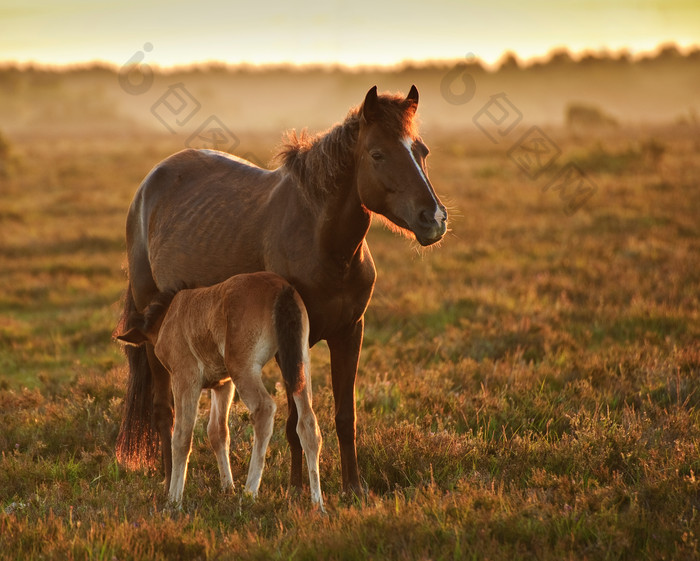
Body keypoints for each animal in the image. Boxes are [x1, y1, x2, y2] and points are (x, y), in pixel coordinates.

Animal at [116, 272, 324, 508]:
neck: (171, 313)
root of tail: (281, 288)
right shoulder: (223, 384)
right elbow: (217, 432)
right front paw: (227, 487)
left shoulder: (185, 378)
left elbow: (182, 436)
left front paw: (174, 499)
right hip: (299, 362)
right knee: (308, 423)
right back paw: (318, 503)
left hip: (243, 368)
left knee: (265, 409)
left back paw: (250, 492)